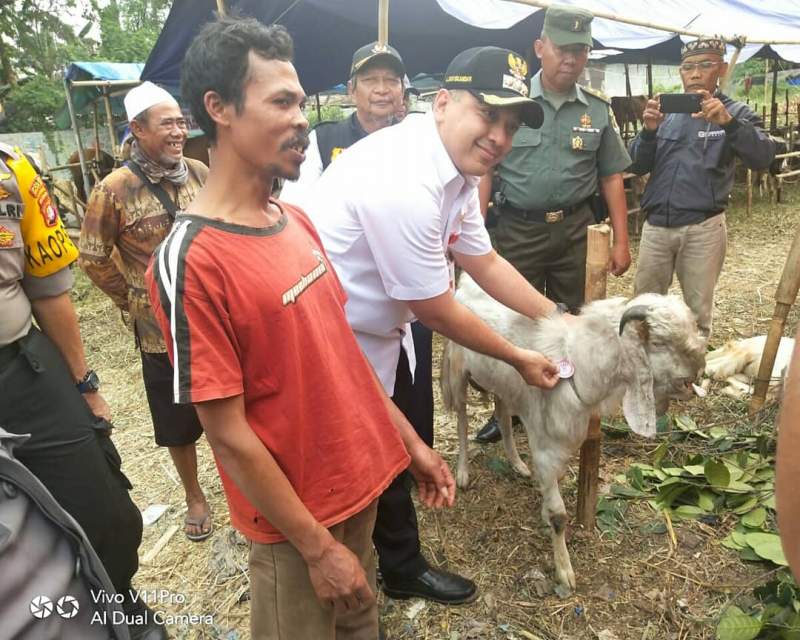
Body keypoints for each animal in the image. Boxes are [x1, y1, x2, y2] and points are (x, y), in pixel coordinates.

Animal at [438, 272, 708, 588]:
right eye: (660, 343)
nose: (698, 371)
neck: (581, 365)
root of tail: (465, 283)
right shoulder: (545, 447)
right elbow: (559, 515)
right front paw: (565, 571)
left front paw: (542, 501)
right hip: (458, 372)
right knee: (462, 421)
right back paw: (463, 473)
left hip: (502, 384)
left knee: (503, 417)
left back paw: (518, 465)